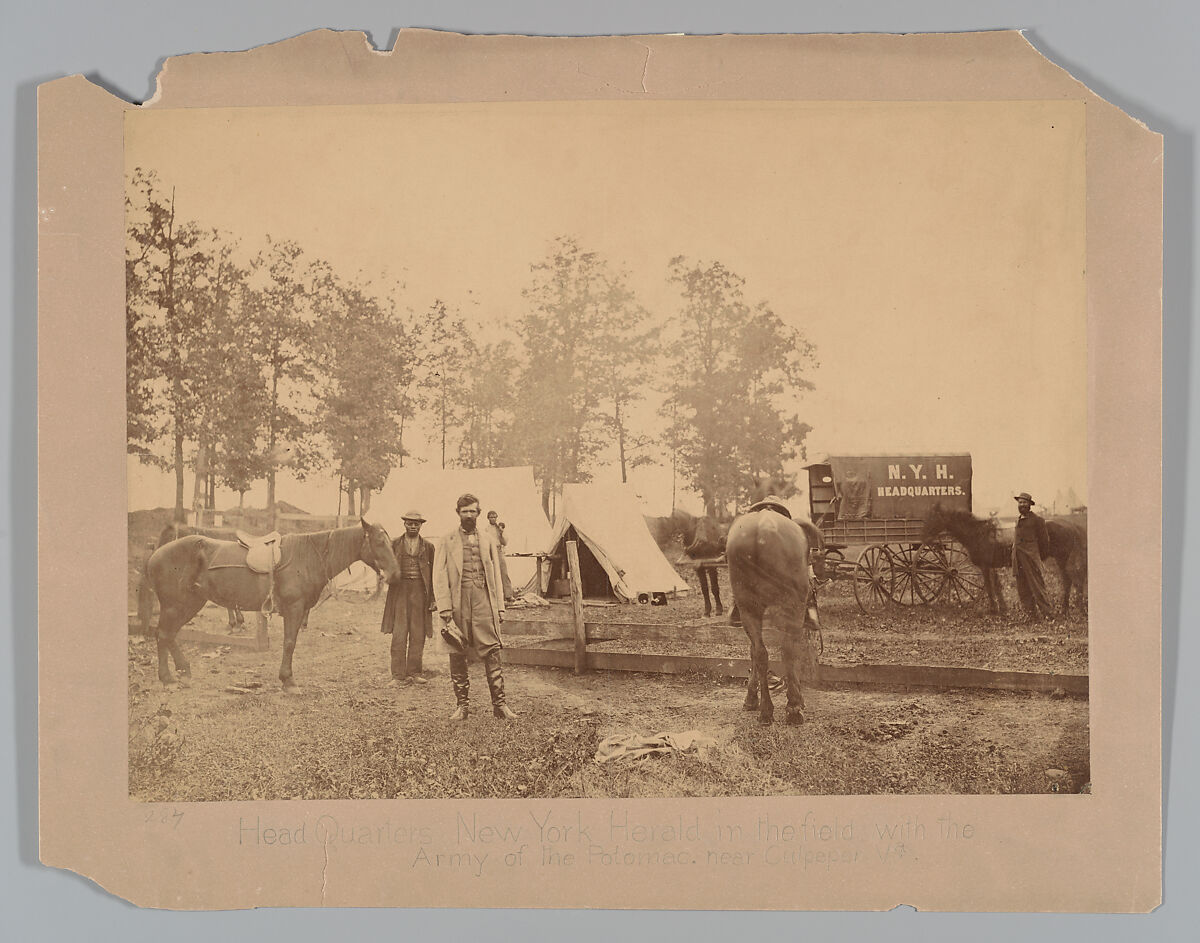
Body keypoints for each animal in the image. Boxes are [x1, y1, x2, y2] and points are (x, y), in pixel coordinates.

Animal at [147, 518, 400, 686]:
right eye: (379, 542)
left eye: (392, 542)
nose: (395, 575)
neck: (307, 557)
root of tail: (156, 554)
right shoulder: (294, 609)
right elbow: (289, 643)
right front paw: (288, 681)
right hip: (175, 605)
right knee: (164, 634)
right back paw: (168, 678)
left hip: (190, 603)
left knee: (169, 635)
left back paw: (183, 670)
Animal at [921, 503, 1094, 614]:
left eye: (933, 517)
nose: (924, 537)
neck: (979, 532)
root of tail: (1071, 525)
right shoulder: (991, 566)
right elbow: (997, 587)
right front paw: (1002, 609)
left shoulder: (985, 566)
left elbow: (990, 587)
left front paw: (993, 610)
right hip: (1061, 559)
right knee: (1067, 581)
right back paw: (1065, 609)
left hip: (1064, 558)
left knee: (1075, 580)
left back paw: (1078, 609)